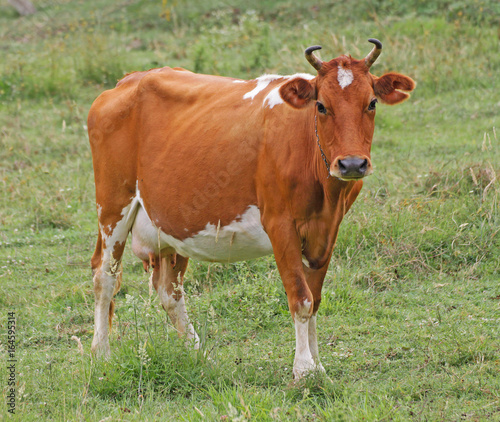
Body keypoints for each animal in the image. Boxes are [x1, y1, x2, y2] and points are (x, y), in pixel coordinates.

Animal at [88, 39, 416, 380]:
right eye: (321, 106)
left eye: (372, 103)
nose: (352, 164)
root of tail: (129, 79)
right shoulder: (279, 224)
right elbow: (300, 298)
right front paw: (303, 369)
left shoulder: (327, 229)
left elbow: (315, 300)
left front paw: (318, 367)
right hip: (113, 205)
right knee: (104, 276)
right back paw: (102, 356)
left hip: (172, 221)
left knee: (169, 291)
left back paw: (198, 354)